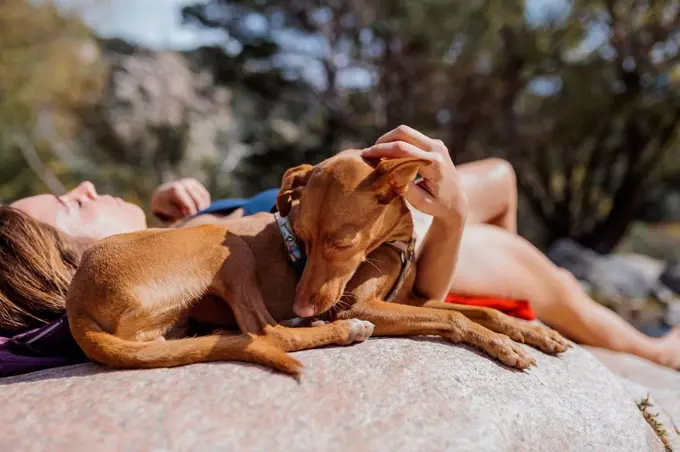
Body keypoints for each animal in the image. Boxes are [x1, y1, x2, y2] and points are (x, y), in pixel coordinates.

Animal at [67, 150, 568, 376]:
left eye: (340, 242)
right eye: (300, 238)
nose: (306, 307)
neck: (392, 244)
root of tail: (76, 303)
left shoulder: (416, 299)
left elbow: (482, 310)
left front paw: (534, 332)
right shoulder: (364, 304)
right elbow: (458, 321)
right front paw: (503, 346)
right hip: (223, 244)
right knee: (266, 333)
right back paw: (337, 331)